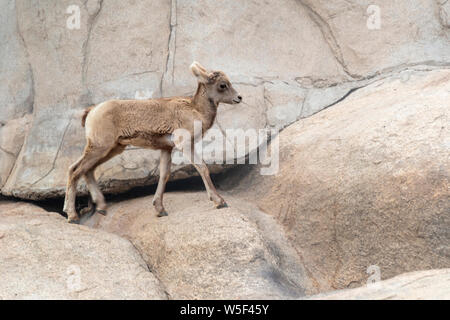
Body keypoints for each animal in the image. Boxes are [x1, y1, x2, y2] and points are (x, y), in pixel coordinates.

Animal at [63, 62, 243, 222]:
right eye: (222, 85)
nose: (239, 98)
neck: (196, 110)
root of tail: (91, 111)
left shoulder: (166, 149)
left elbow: (164, 175)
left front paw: (160, 210)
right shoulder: (184, 144)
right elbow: (202, 168)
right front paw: (220, 202)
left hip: (112, 148)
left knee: (83, 169)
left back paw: (101, 207)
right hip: (100, 147)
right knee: (76, 171)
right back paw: (72, 216)